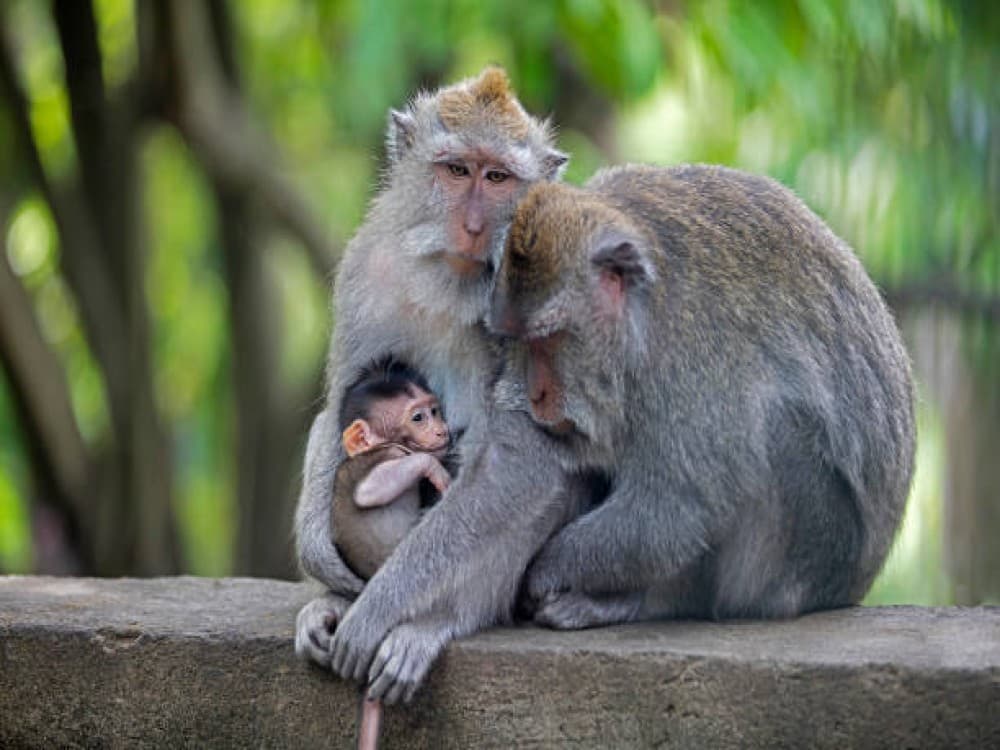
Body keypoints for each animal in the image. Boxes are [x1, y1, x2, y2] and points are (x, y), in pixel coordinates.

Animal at [332, 360, 452, 581]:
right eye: (418, 418)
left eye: (434, 411)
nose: (442, 431)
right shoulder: (393, 452)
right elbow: (367, 491)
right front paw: (433, 467)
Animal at [485, 163, 915, 628]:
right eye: (519, 342)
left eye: (550, 341)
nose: (538, 395)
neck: (642, 312)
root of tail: (854, 586)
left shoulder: (692, 358)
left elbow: (676, 510)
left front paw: (548, 570)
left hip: (813, 562)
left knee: (776, 430)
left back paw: (640, 601)